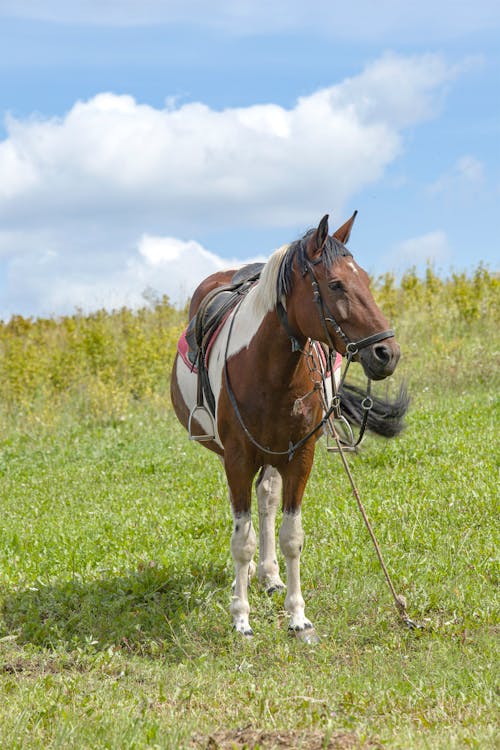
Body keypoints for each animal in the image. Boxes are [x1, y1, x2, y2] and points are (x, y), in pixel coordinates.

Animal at [170, 214, 408, 644]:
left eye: (366, 279)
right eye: (336, 285)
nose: (387, 353)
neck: (265, 368)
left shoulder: (300, 457)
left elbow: (291, 536)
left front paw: (298, 618)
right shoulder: (237, 458)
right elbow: (241, 540)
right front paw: (241, 619)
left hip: (273, 454)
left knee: (266, 500)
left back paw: (269, 576)